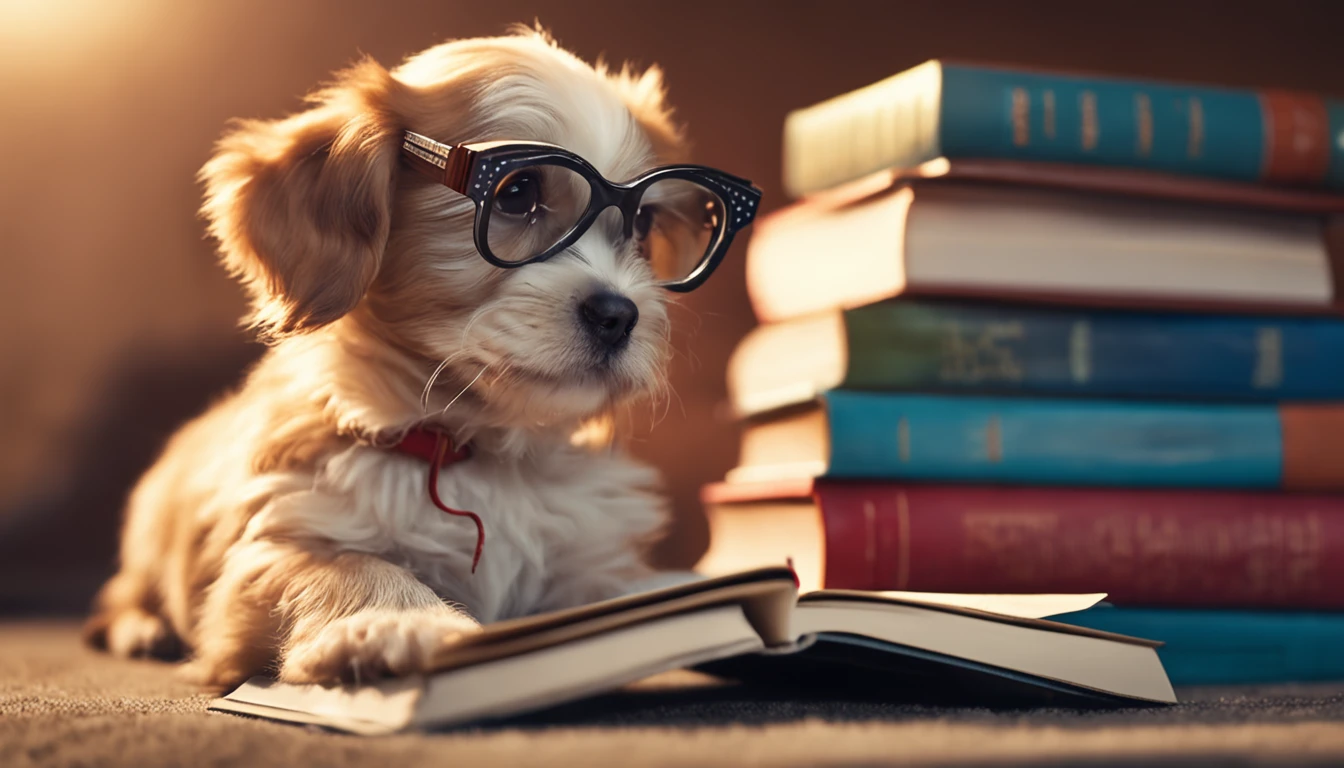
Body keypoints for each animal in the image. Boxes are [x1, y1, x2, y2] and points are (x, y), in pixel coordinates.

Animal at [84, 30, 725, 688]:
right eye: (518, 194)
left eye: (643, 222)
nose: (619, 314)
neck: (476, 450)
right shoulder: (270, 544)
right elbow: (348, 564)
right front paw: (399, 620)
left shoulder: (588, 554)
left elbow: (632, 591)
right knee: (121, 592)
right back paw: (142, 628)